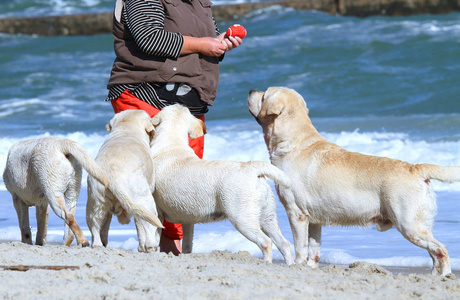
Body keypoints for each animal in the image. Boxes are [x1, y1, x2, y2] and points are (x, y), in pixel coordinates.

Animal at [86, 109, 164, 252]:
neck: (126, 129)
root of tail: (113, 177)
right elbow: (140, 225)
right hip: (144, 200)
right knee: (149, 223)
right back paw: (152, 245)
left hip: (95, 201)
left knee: (95, 224)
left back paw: (98, 244)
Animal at [150, 103, 294, 264]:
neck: (171, 142)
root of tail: (252, 168)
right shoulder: (188, 219)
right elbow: (187, 244)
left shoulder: (154, 209)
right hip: (267, 216)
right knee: (283, 243)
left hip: (242, 218)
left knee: (266, 242)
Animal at [250, 85, 460, 276]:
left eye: (264, 94)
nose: (251, 90)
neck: (293, 142)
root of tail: (416, 168)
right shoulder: (314, 218)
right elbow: (314, 249)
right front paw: (310, 268)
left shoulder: (296, 212)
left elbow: (300, 246)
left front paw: (298, 266)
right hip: (420, 224)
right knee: (434, 254)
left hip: (409, 224)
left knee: (441, 250)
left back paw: (445, 276)